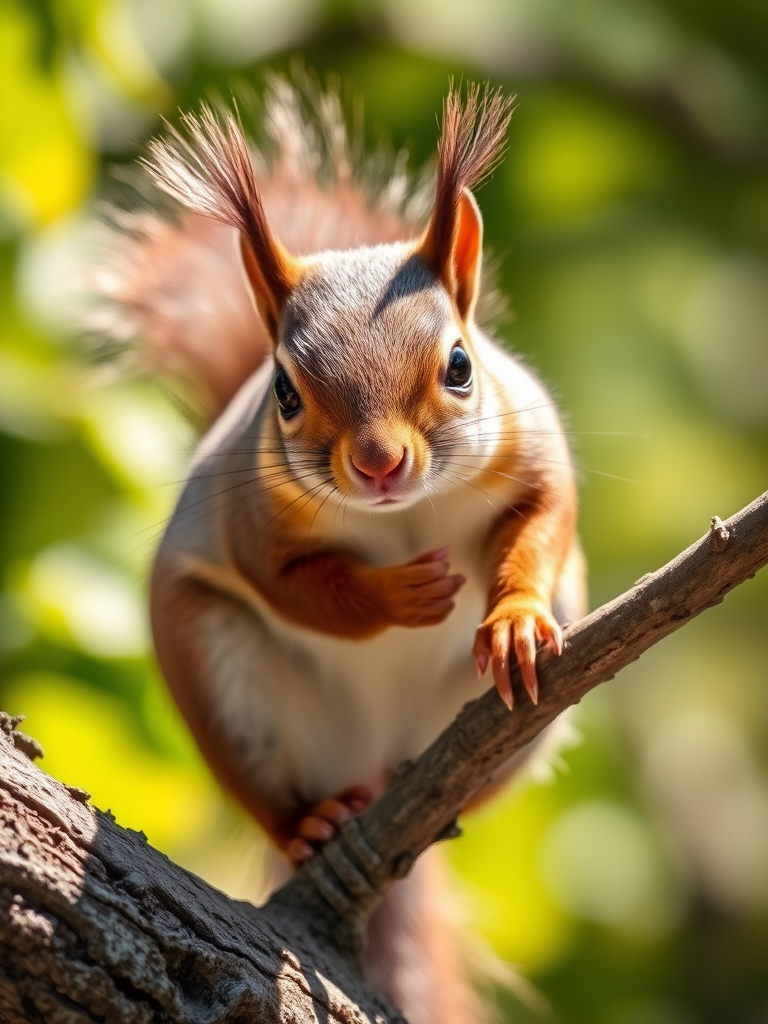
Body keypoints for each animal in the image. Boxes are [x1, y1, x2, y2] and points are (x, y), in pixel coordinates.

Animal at [93, 75, 587, 1024]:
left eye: (461, 365)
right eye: (286, 393)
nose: (379, 462)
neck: (403, 515)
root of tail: (367, 766)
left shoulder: (535, 450)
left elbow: (543, 524)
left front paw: (511, 620)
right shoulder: (255, 527)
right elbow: (300, 587)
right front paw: (400, 596)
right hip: (223, 683)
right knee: (275, 794)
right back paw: (313, 821)